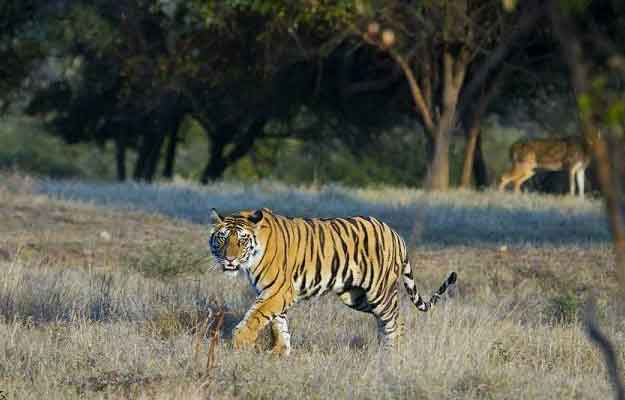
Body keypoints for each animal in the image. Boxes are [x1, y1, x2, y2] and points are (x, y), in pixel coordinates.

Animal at [207, 208, 456, 354]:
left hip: (380, 292)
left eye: (241, 240)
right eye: (222, 238)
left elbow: (256, 316)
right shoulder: (273, 293)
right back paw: (380, 351)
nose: (229, 259)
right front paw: (280, 352)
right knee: (385, 322)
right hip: (356, 297)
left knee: (395, 322)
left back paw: (392, 356)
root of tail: (396, 234)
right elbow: (278, 323)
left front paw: (240, 342)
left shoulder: (278, 291)